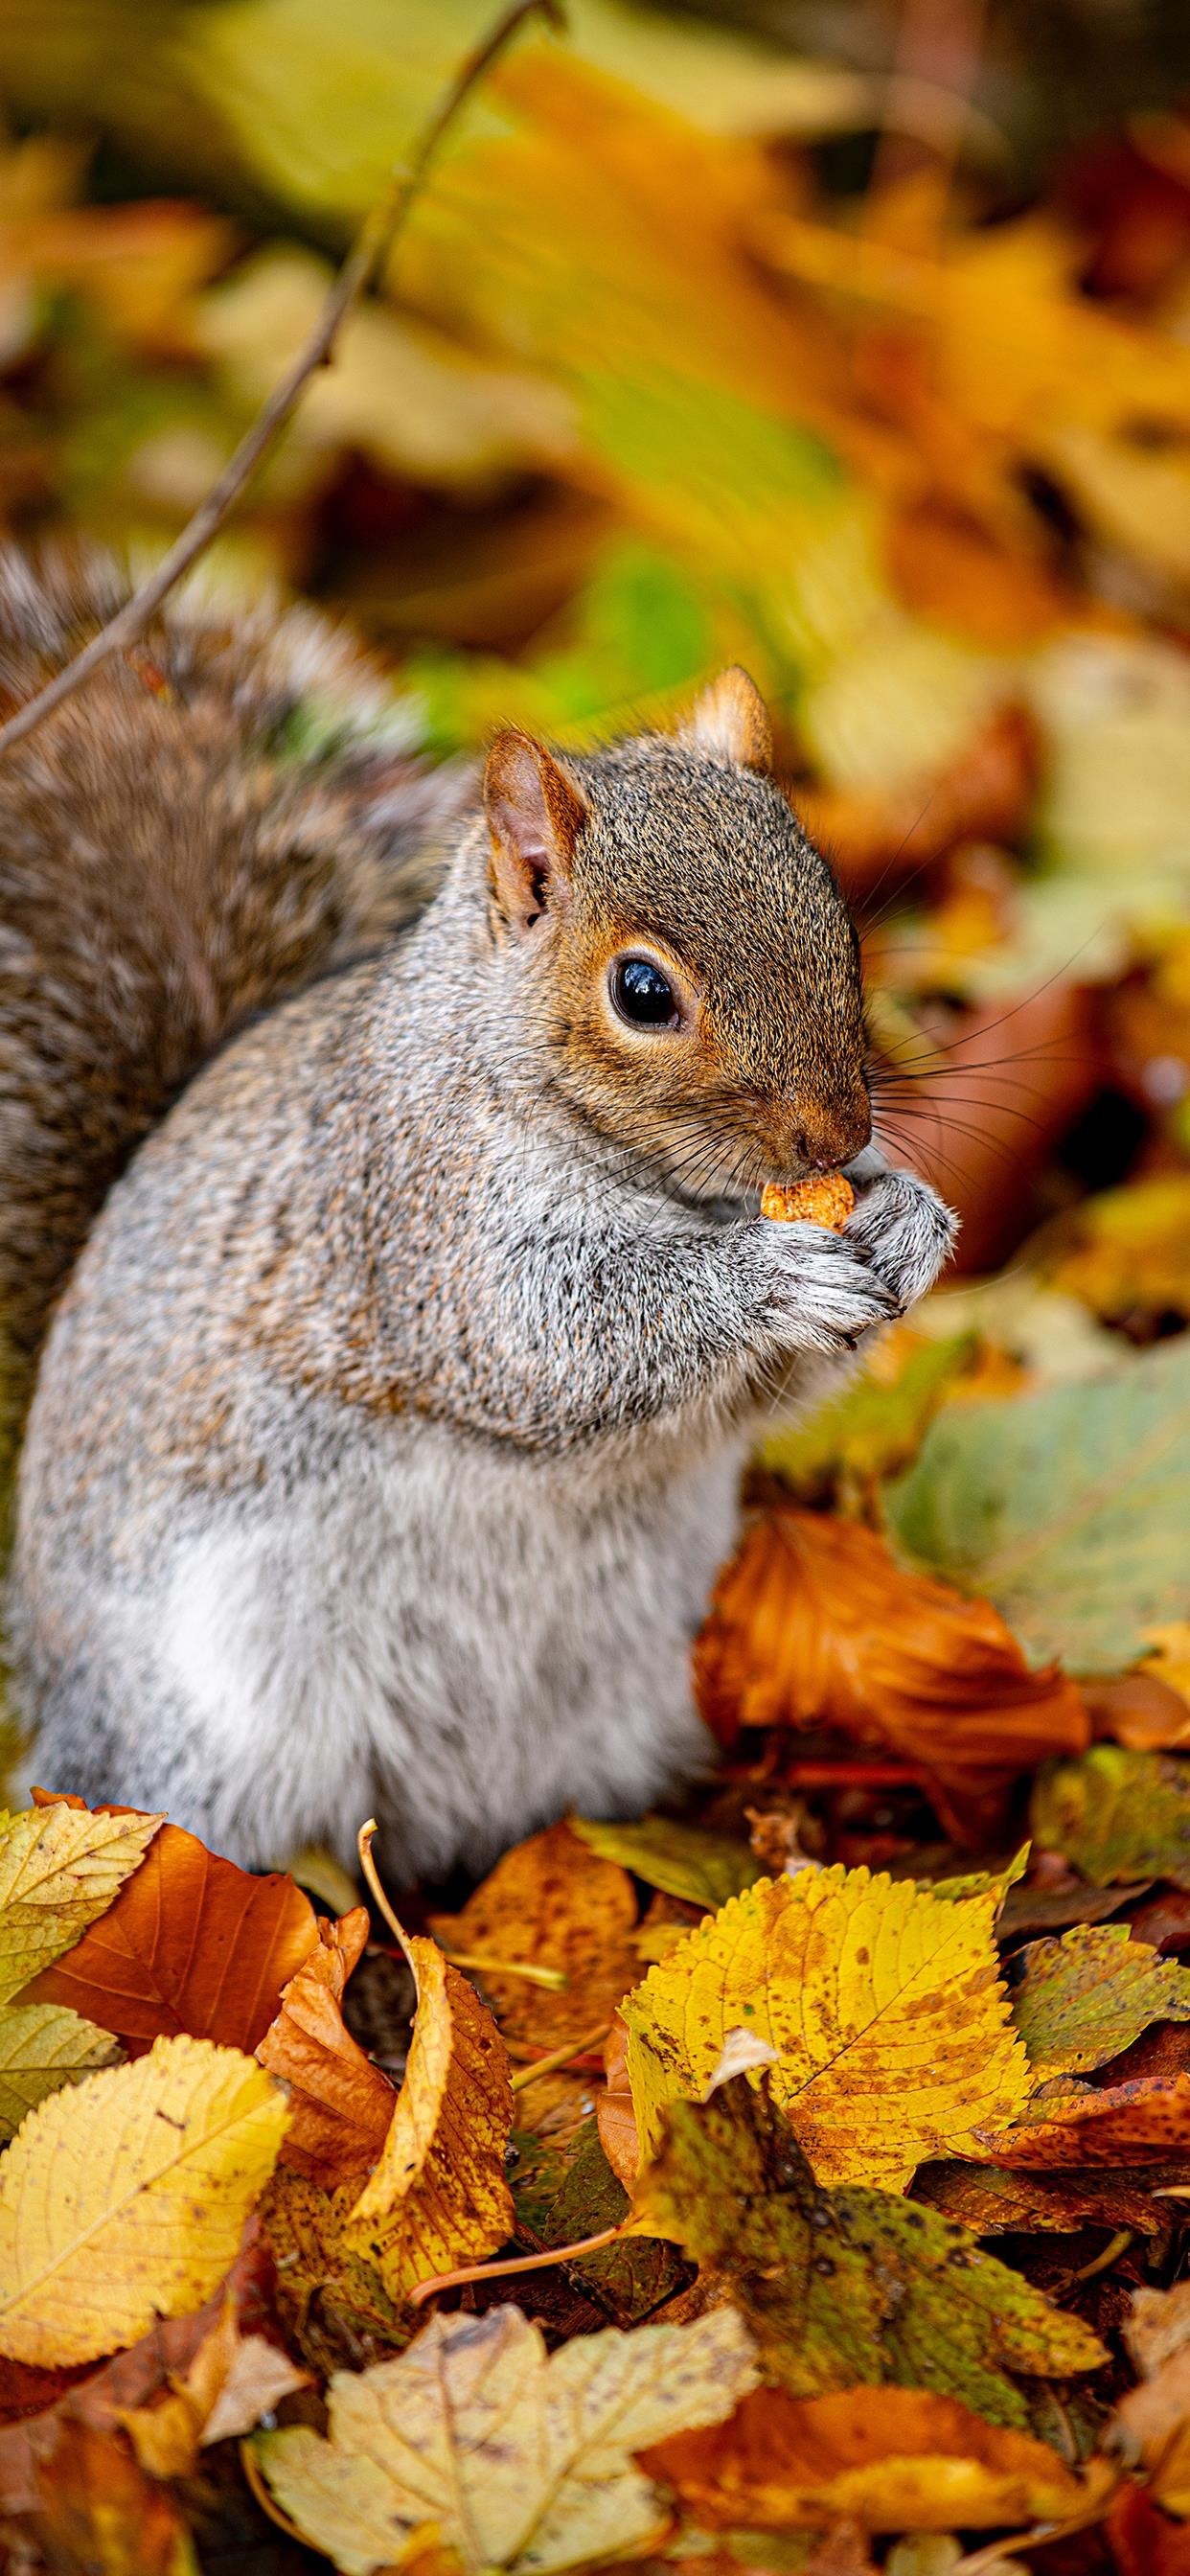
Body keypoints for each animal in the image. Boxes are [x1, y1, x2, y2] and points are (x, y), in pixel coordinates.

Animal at [0, 548, 952, 1874]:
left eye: (838, 918)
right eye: (641, 992)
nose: (836, 1136)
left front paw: (908, 1219)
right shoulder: (419, 1218)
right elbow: (546, 1341)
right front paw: (770, 1276)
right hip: (211, 1732)